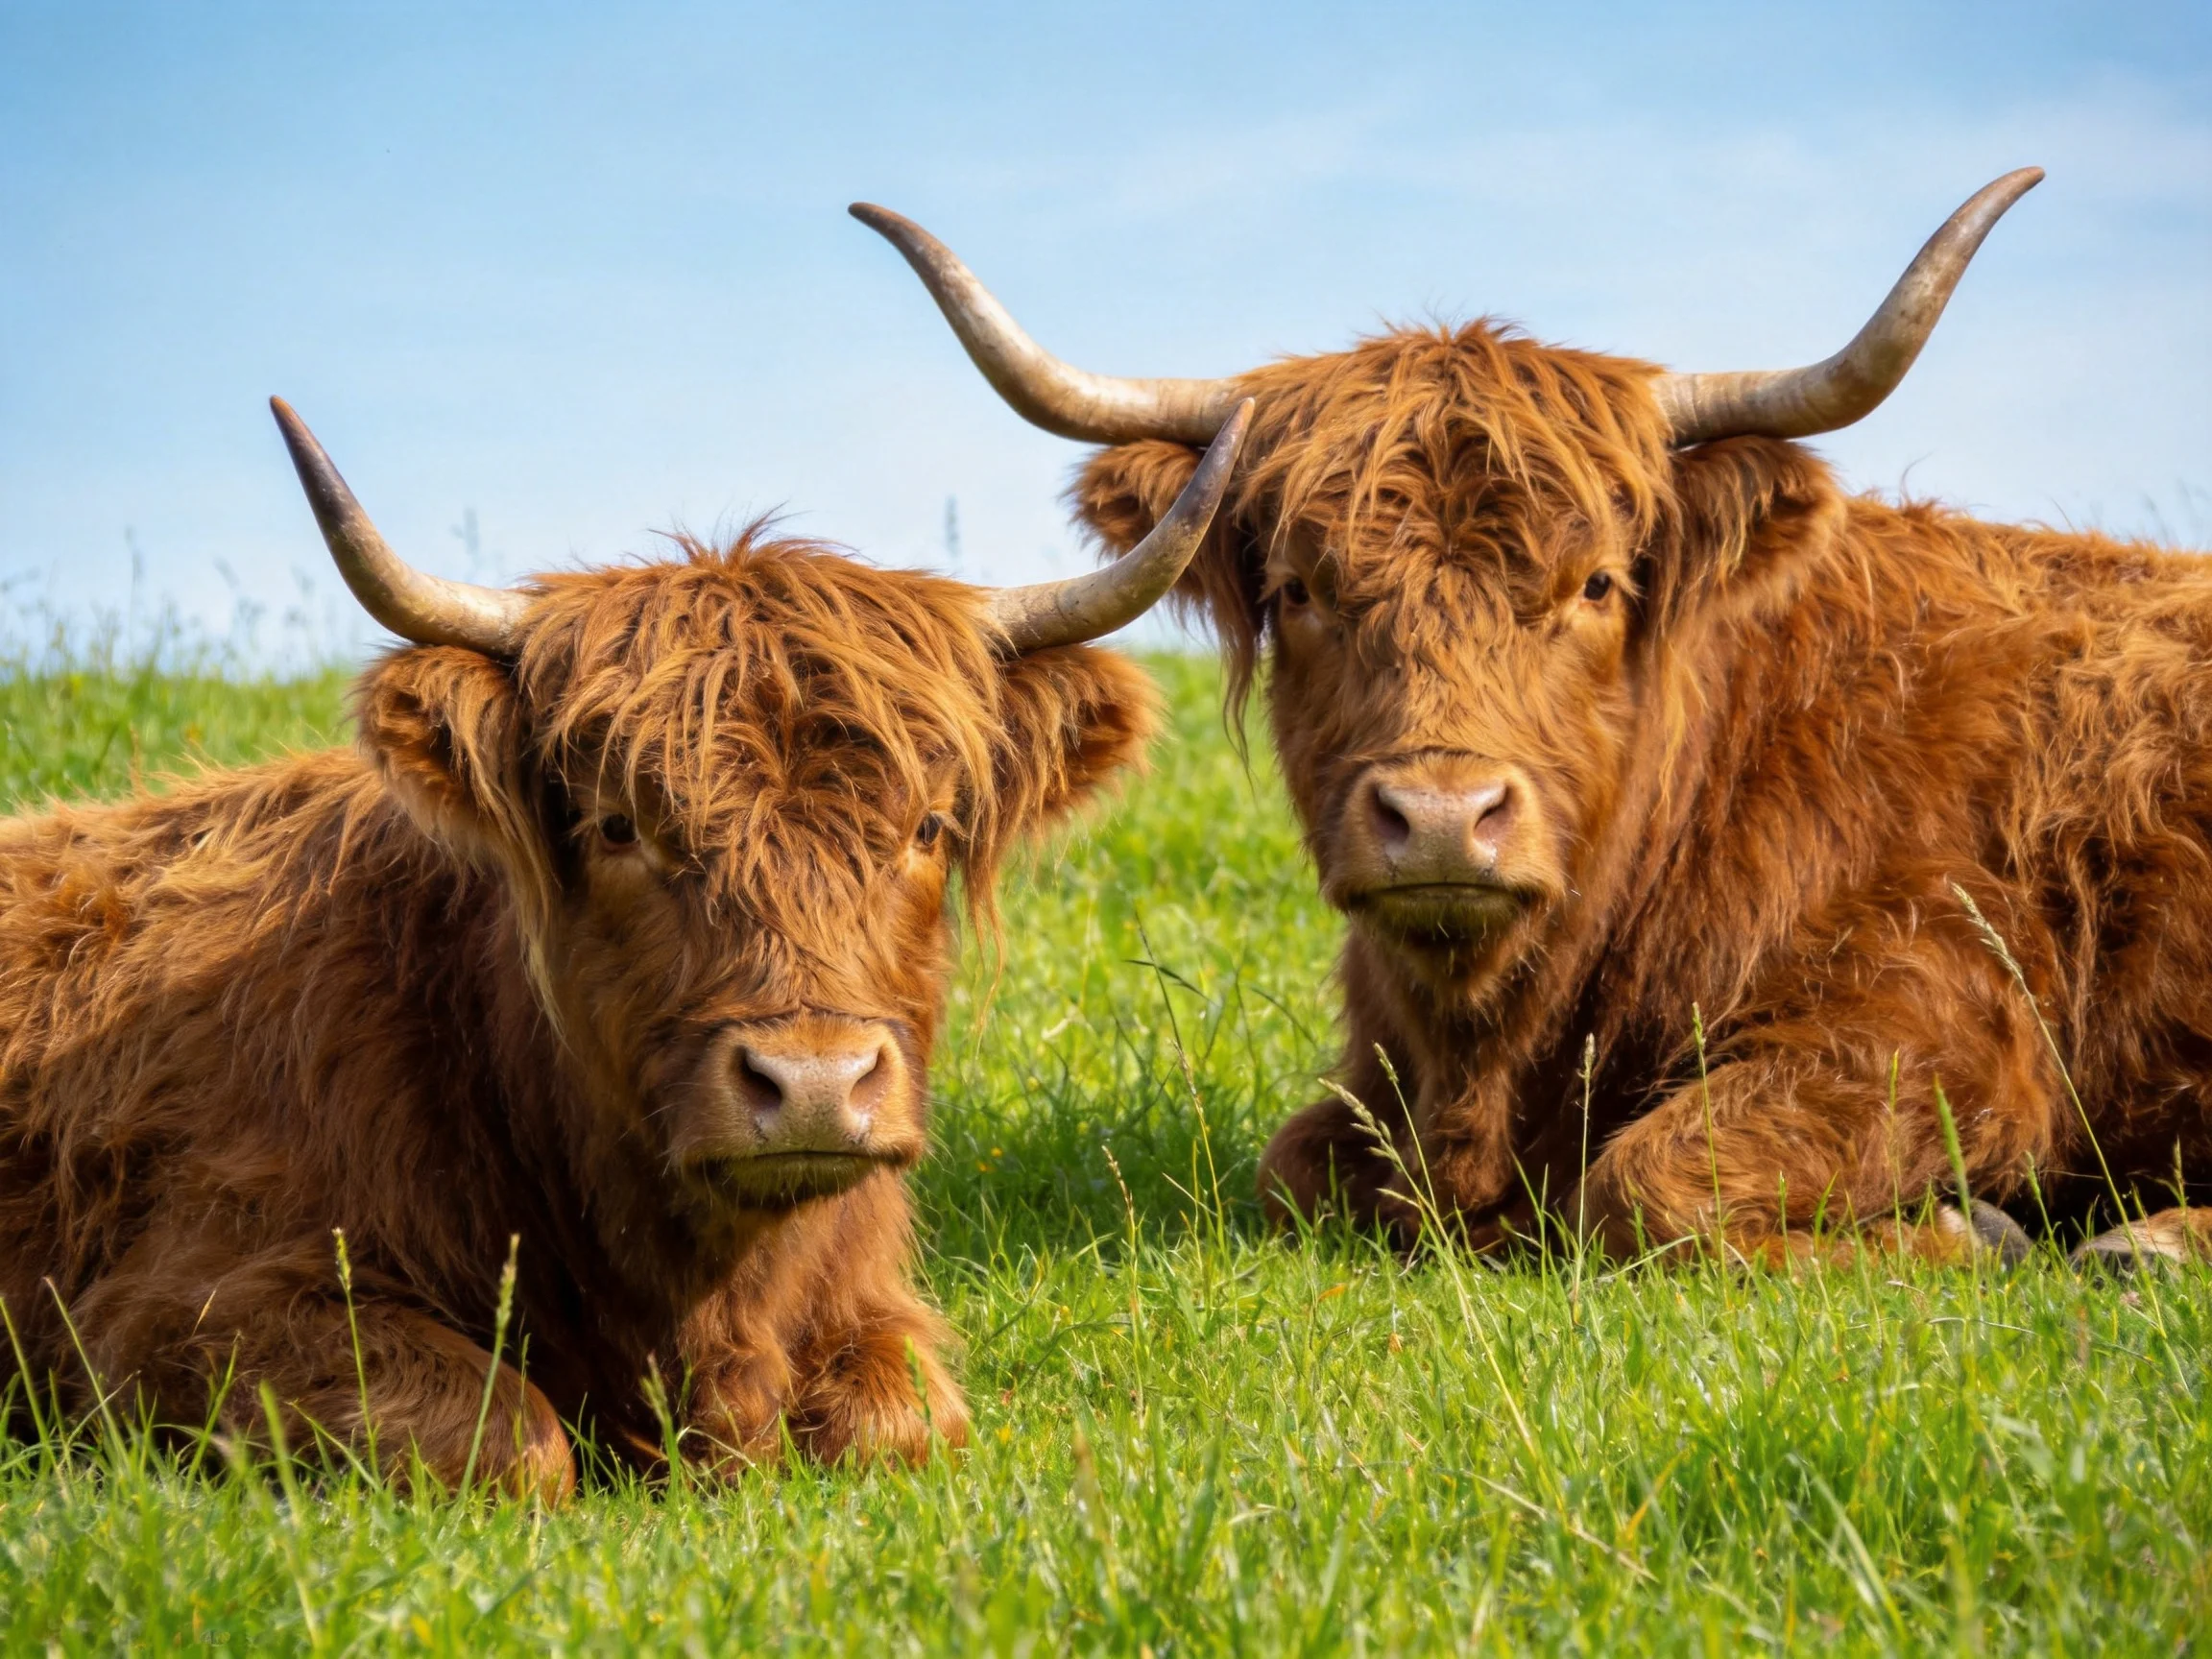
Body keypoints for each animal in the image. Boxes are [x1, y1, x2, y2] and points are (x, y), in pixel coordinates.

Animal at [0, 394, 1250, 1496]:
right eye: (617, 825)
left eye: (929, 827)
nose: (812, 1084)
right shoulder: (178, 1311)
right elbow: (510, 1440)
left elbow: (900, 1424)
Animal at [856, 170, 2212, 1272]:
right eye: (1299, 589)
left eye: (1598, 584)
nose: (1442, 819)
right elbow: (1292, 1171)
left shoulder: (1947, 1022)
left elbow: (1649, 1181)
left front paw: (1975, 1231)